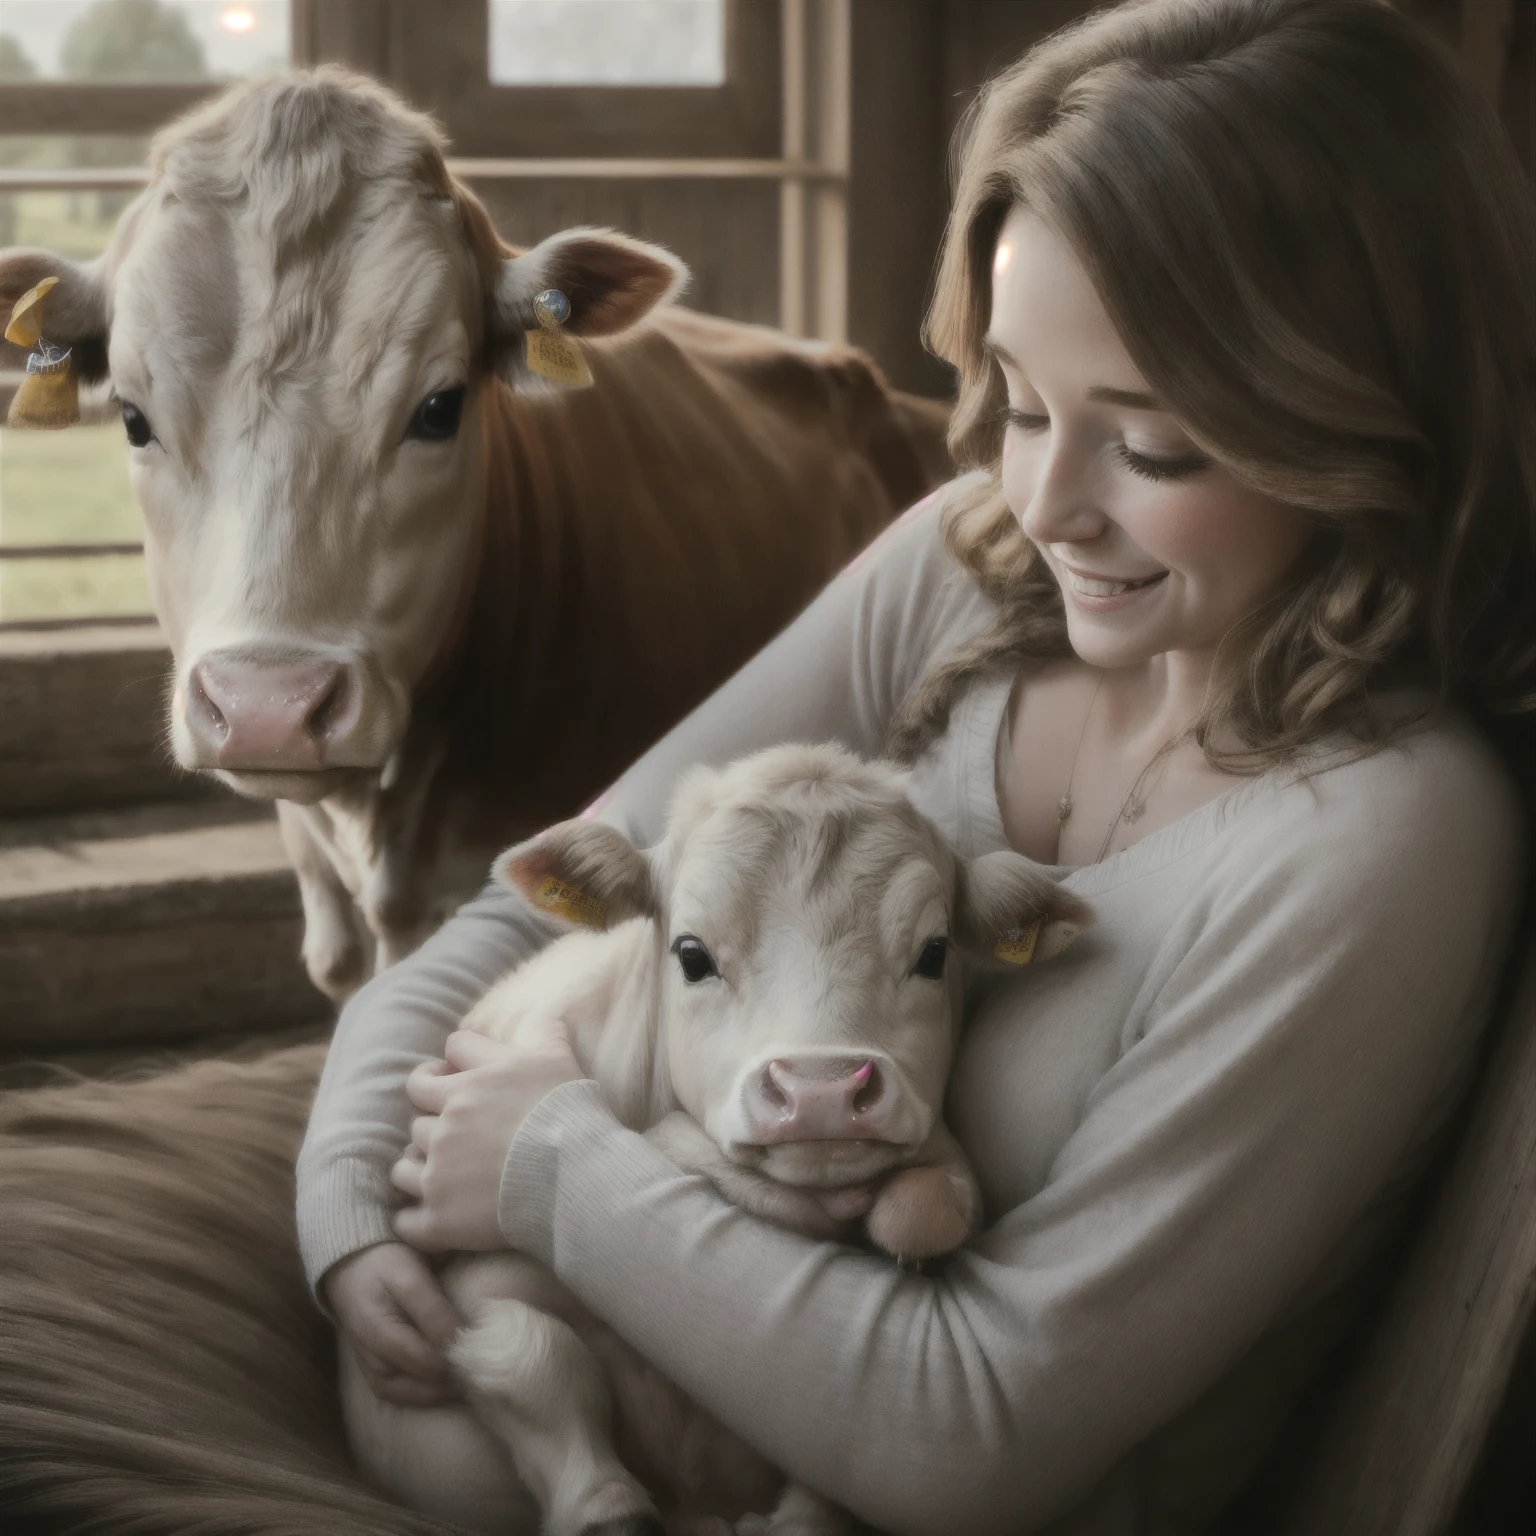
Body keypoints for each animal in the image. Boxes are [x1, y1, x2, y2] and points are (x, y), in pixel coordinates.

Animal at [348, 743, 1093, 1536]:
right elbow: (531, 1355)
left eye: (934, 952)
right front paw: (607, 1509)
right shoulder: (476, 1283)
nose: (821, 1091)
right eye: (692, 955)